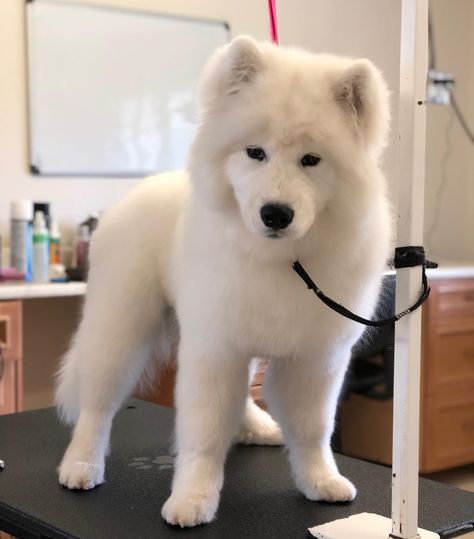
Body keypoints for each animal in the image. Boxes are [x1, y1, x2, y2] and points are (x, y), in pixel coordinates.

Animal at [55, 37, 390, 528]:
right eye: (255, 153)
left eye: (311, 160)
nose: (275, 213)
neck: (280, 260)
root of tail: (134, 194)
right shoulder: (214, 349)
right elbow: (205, 430)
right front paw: (192, 498)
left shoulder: (315, 357)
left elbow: (313, 429)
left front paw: (320, 481)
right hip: (120, 328)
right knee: (97, 405)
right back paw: (80, 465)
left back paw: (256, 427)